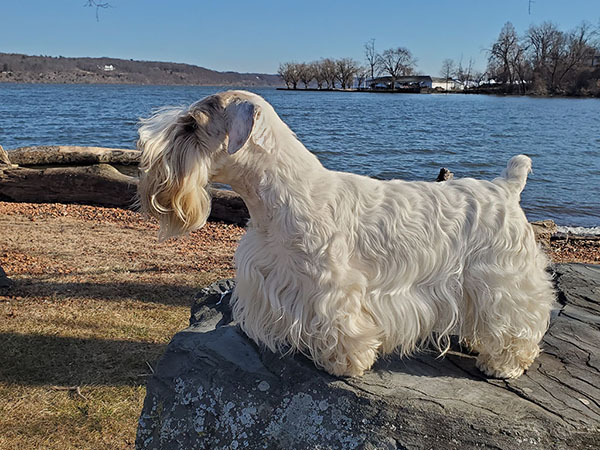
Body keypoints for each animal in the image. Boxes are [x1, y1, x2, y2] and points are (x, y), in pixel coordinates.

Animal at [138, 89, 556, 378]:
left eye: (191, 125)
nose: (144, 153)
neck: (282, 195)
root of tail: (506, 187)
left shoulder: (332, 286)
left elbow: (342, 326)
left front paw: (343, 363)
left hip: (504, 277)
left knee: (520, 319)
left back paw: (503, 364)